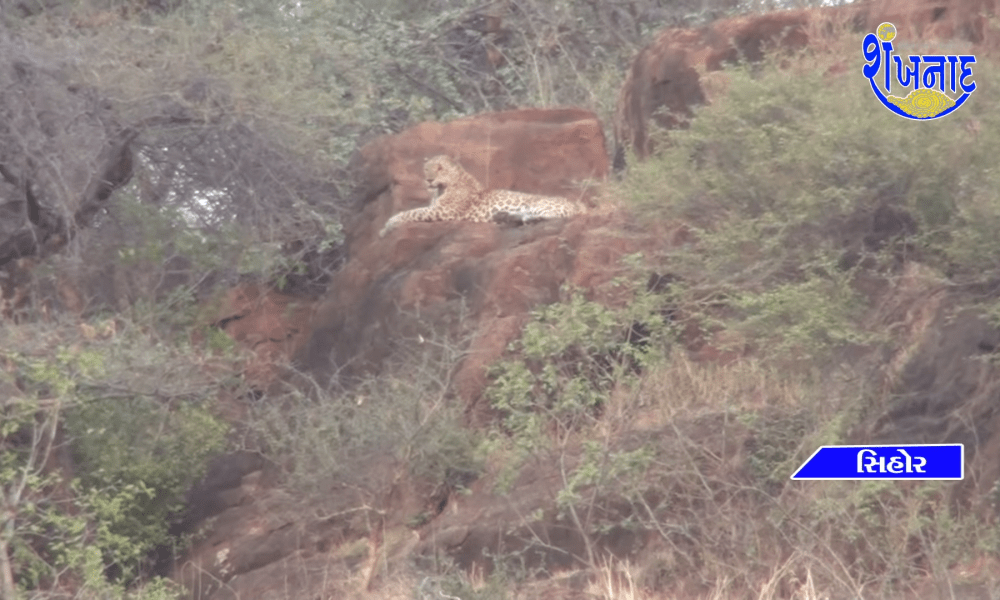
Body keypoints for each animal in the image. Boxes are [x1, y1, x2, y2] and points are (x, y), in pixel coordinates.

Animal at [378, 155, 588, 237]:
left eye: (440, 168)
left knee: (547, 216)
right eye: (427, 168)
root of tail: (577, 205)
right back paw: (503, 217)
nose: (429, 180)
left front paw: (387, 226)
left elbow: (410, 213)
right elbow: (412, 211)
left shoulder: (443, 211)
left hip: (540, 205)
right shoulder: (437, 208)